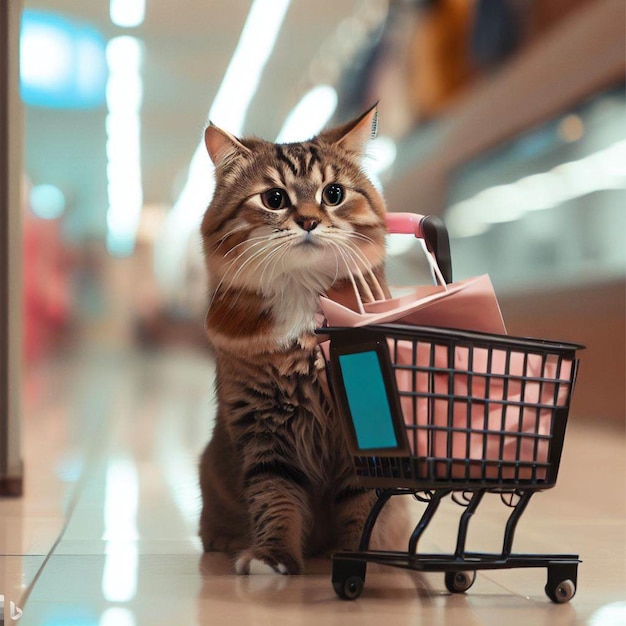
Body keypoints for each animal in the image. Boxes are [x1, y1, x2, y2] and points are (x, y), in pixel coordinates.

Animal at [197, 105, 394, 572]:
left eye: (333, 193)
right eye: (274, 199)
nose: (309, 220)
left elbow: (364, 508)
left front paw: (366, 562)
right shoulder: (262, 428)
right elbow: (275, 497)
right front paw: (273, 558)